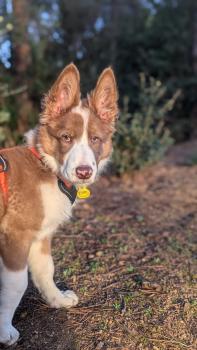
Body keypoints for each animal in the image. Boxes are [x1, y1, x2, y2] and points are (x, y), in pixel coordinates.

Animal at [0, 63, 118, 344]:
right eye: (66, 137)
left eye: (95, 139)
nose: (84, 172)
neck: (46, 167)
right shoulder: (15, 235)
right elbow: (16, 284)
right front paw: (4, 330)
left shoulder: (41, 235)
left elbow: (45, 270)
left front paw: (57, 300)